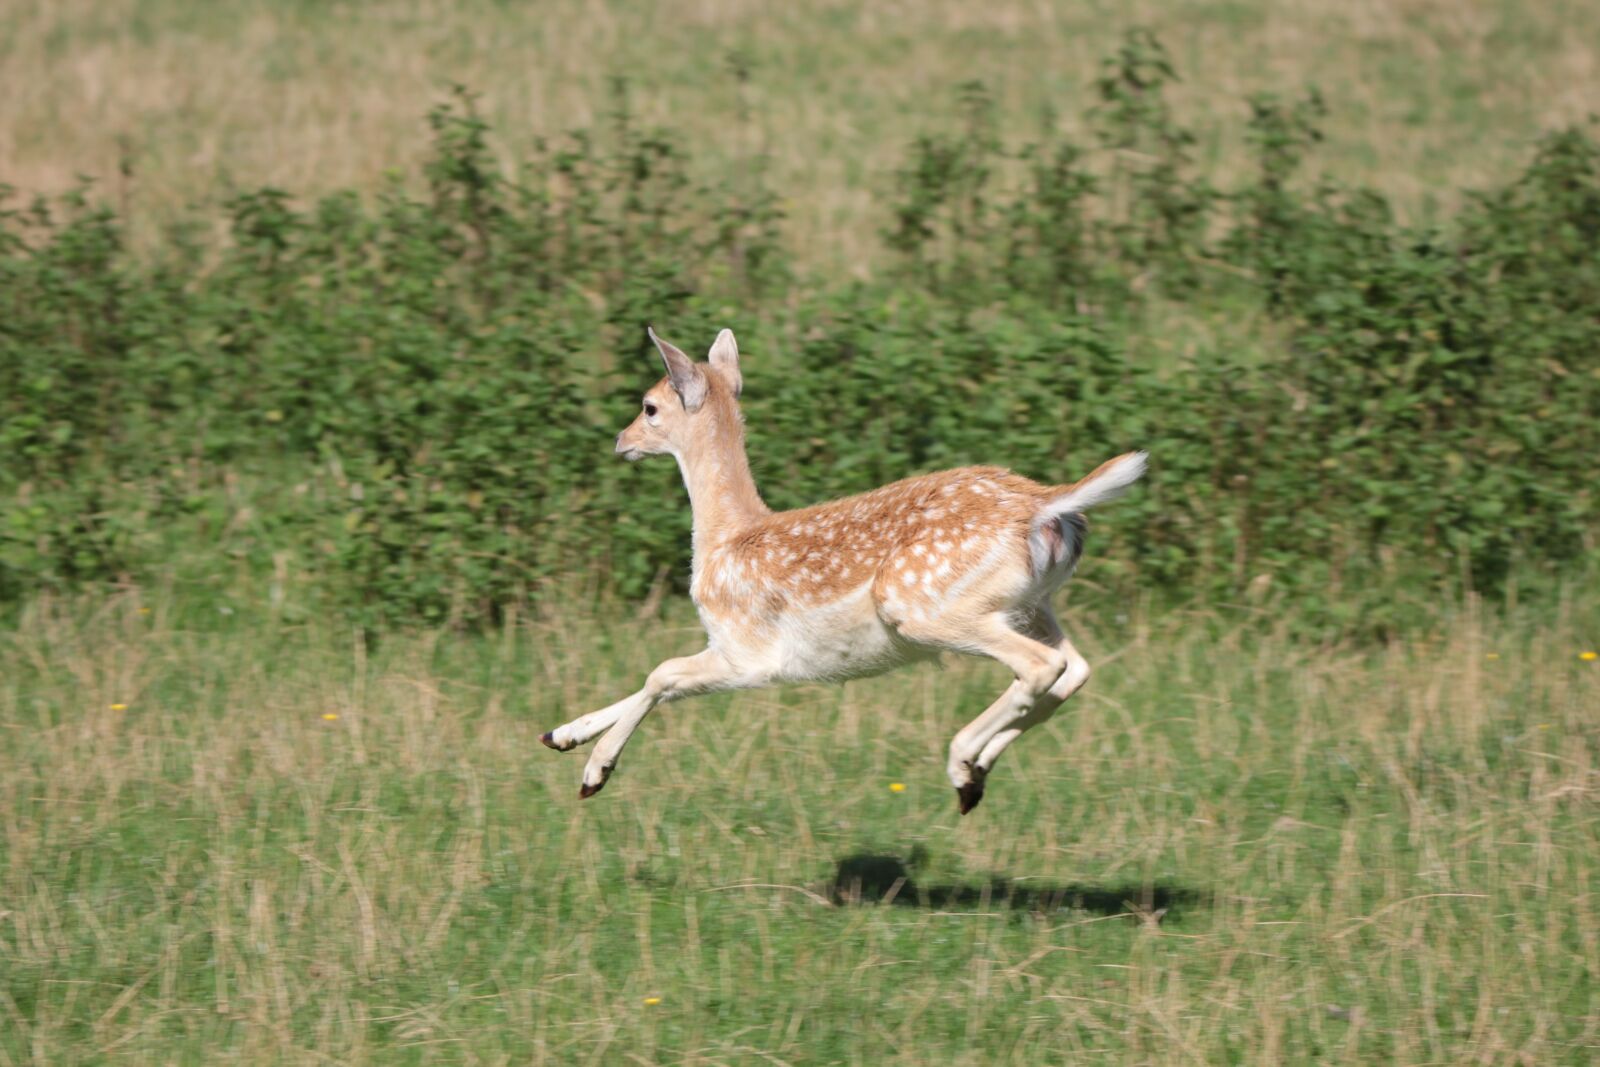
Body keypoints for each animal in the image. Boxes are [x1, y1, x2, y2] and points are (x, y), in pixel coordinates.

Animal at [540, 326, 1147, 814]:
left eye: (648, 407)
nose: (620, 441)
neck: (727, 537)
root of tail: (1045, 505)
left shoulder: (751, 653)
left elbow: (660, 674)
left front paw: (595, 772)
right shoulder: (726, 648)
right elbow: (656, 682)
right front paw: (560, 734)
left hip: (923, 605)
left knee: (1041, 667)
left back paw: (960, 763)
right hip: (1030, 605)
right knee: (1075, 669)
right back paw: (977, 775)